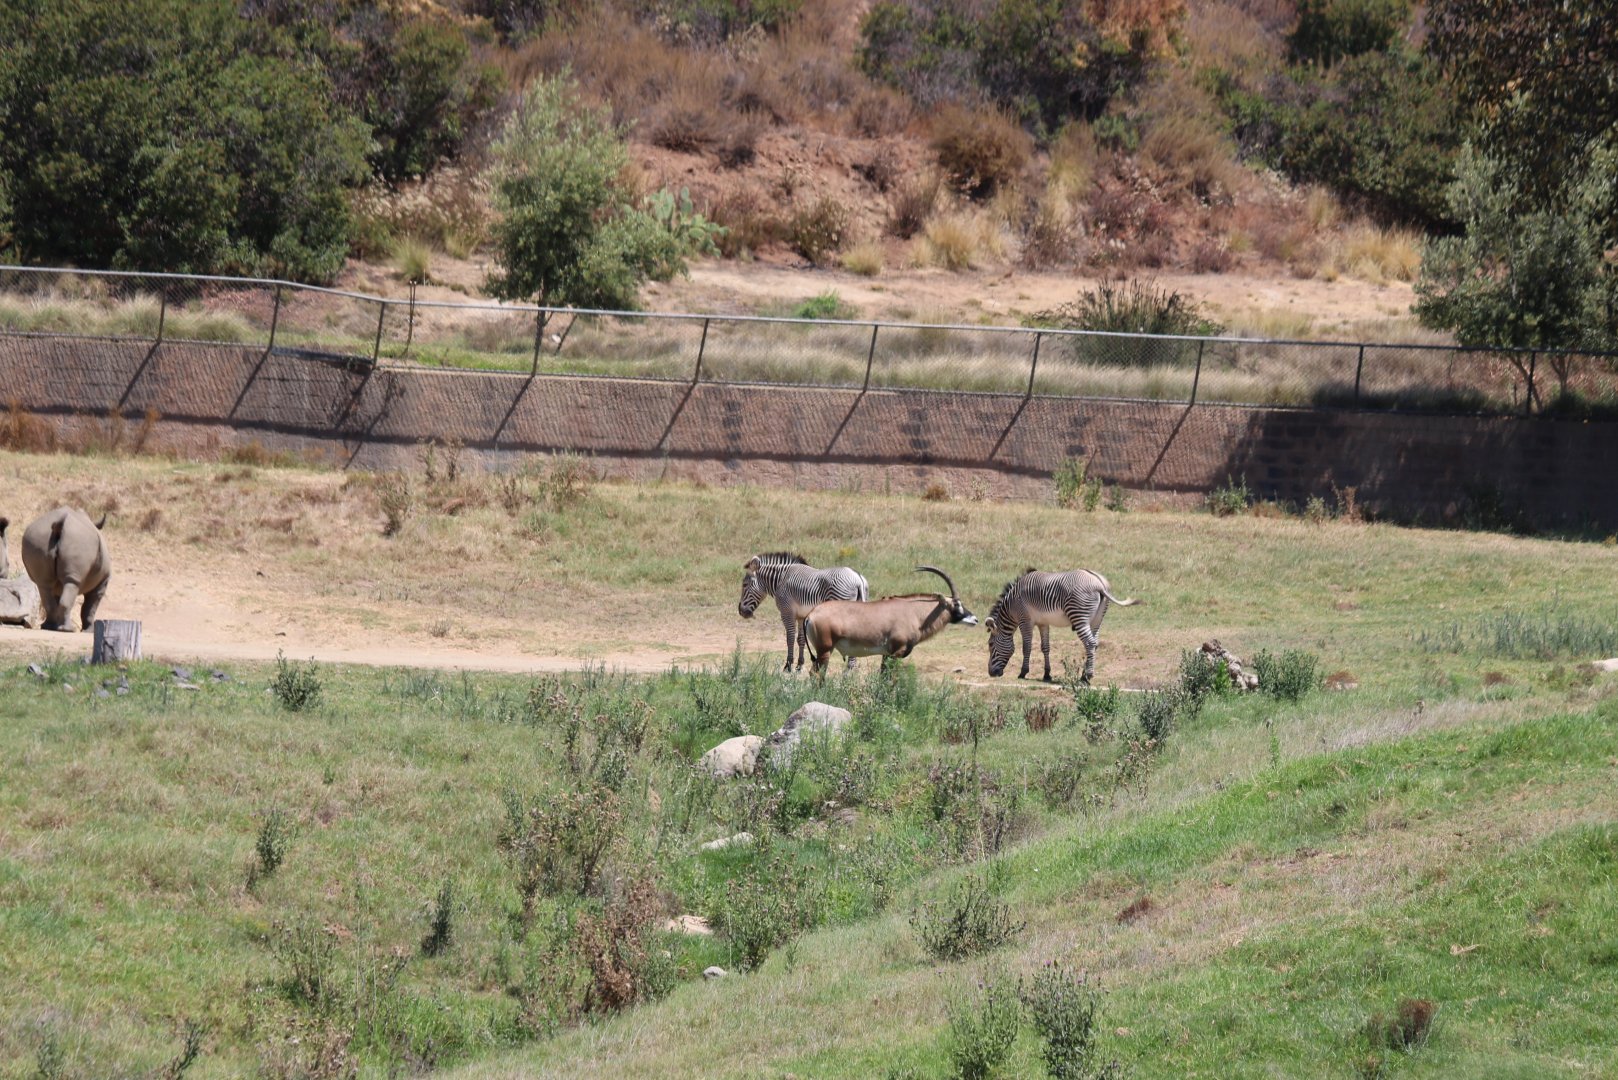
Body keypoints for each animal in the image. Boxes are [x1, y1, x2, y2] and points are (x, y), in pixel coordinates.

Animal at [738, 552, 870, 672]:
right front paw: (799, 665)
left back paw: (849, 669)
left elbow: (790, 637)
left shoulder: (787, 612)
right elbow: (800, 639)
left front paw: (788, 665)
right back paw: (852, 668)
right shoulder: (801, 615)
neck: (781, 580)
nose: (740, 611)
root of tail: (857, 578)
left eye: (744, 585)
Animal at [802, 566, 978, 676]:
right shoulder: (896, 653)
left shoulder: (886, 655)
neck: (914, 613)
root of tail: (811, 615)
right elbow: (890, 679)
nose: (975, 619)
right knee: (816, 674)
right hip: (825, 650)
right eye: (956, 603)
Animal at [985, 568, 1139, 684]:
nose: (991, 673)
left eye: (990, 644)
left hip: (1079, 615)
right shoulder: (1043, 622)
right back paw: (1084, 674)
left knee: (1089, 643)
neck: (1011, 606)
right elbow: (1045, 647)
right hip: (1097, 619)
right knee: (1095, 643)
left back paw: (1087, 677)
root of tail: (1099, 584)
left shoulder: (1025, 620)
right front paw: (1047, 674)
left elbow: (1026, 647)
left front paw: (1023, 672)